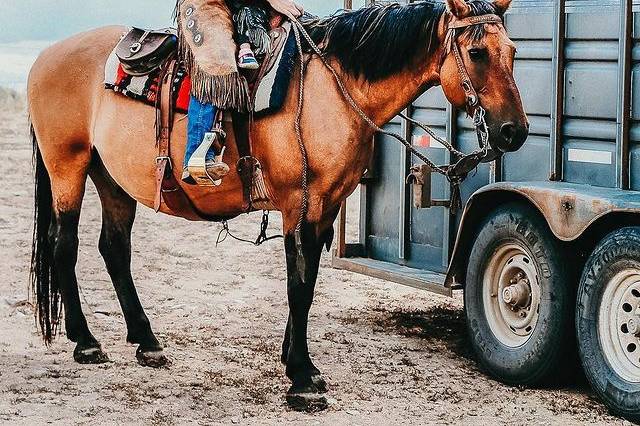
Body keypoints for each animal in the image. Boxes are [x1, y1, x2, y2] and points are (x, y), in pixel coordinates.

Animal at [27, 0, 524, 410]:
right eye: (477, 53)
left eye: (514, 51)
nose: (513, 131)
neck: (332, 89)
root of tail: (45, 57)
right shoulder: (301, 204)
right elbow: (299, 284)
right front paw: (302, 378)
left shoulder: (326, 208)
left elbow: (307, 281)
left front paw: (295, 360)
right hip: (67, 166)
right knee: (62, 246)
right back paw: (86, 342)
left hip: (111, 179)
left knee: (113, 249)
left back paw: (146, 341)